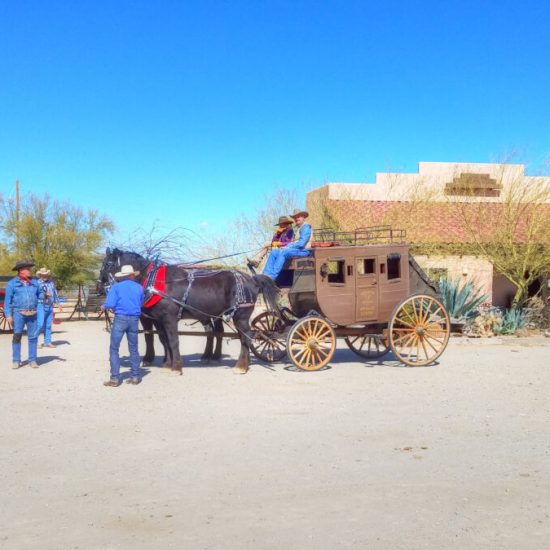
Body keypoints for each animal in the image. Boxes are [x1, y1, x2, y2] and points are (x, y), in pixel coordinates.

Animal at [96, 250, 280, 376]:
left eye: (108, 264)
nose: (99, 288)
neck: (155, 281)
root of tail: (252, 279)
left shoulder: (169, 319)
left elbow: (173, 341)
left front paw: (176, 367)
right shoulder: (159, 320)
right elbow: (164, 340)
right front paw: (167, 364)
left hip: (240, 316)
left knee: (246, 337)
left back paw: (241, 365)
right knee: (226, 334)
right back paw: (229, 360)